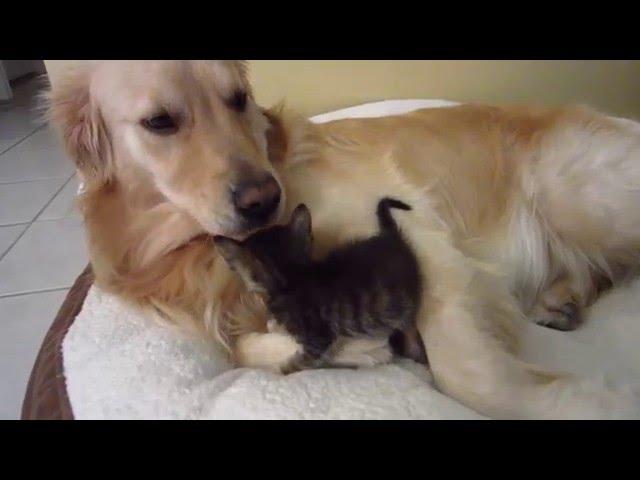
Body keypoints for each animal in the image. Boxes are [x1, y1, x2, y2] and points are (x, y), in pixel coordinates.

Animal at [47, 61, 640, 420]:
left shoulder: (416, 231)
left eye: (237, 99)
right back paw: (561, 300)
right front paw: (355, 348)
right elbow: (247, 345)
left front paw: (586, 403)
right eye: (160, 122)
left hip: (578, 197)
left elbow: (465, 373)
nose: (266, 198)